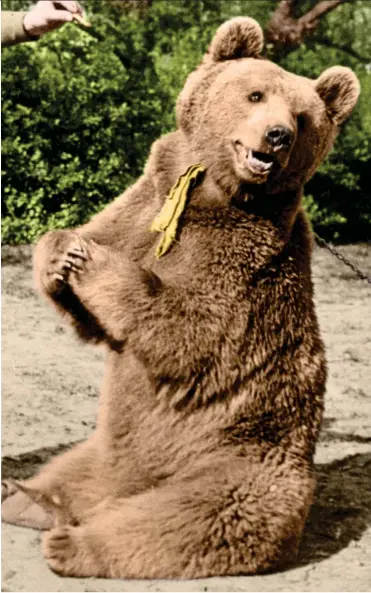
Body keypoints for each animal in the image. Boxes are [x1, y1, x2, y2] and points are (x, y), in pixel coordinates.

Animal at [0, 15, 360, 580]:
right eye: (256, 94)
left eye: (303, 117)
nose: (277, 136)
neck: (211, 192)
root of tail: (124, 489)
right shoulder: (150, 199)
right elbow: (95, 271)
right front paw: (63, 253)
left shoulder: (247, 264)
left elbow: (191, 329)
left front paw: (93, 261)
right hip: (103, 449)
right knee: (71, 469)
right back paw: (24, 495)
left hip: (239, 463)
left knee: (190, 518)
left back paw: (72, 543)